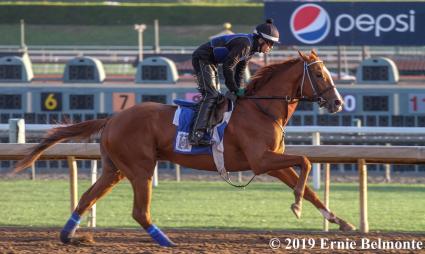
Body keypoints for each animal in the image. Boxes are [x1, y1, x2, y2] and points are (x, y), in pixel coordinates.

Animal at [14, 50, 354, 247]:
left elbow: (307, 186)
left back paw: (69, 235)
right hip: (140, 167)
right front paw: (296, 206)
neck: (262, 109)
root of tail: (113, 117)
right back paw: (165, 240)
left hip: (115, 169)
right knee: (139, 211)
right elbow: (306, 161)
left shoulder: (273, 161)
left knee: (88, 196)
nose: (338, 102)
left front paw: (340, 220)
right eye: (320, 74)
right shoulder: (261, 160)